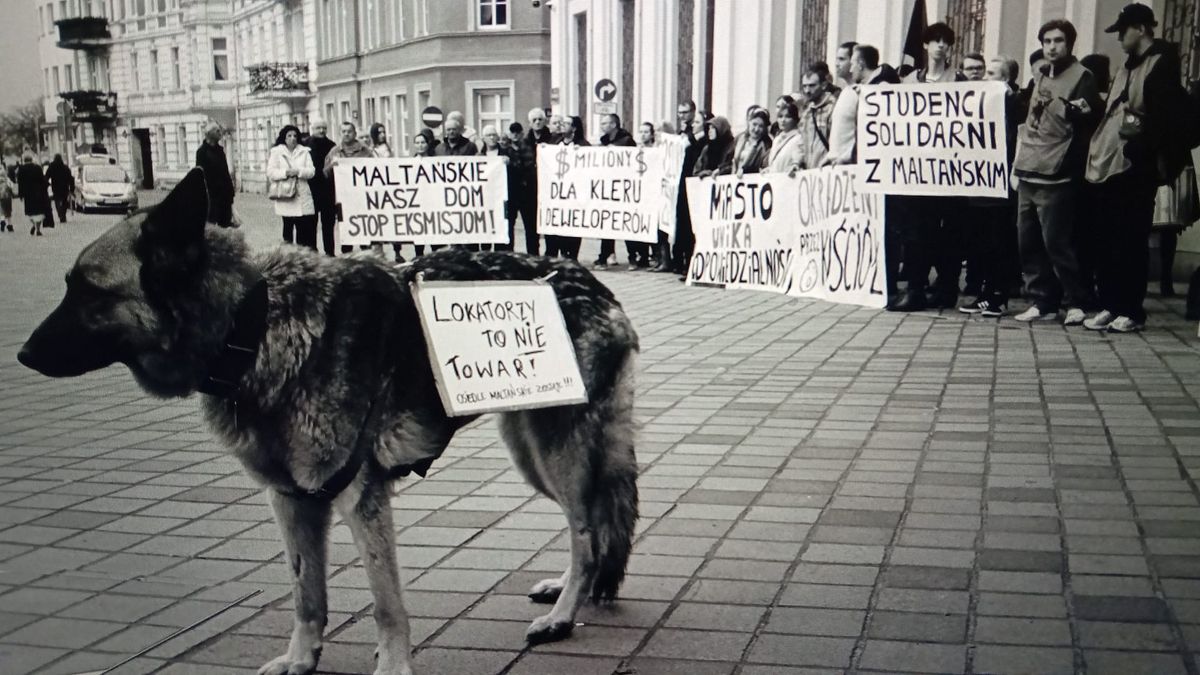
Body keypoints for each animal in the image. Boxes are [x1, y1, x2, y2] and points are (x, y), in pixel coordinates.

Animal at [18, 169, 638, 672]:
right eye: (71, 287)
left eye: (87, 291)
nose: (21, 355)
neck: (252, 325)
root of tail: (596, 286)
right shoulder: (292, 500)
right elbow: (306, 595)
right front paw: (301, 659)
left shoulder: (359, 499)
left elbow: (386, 605)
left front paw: (394, 668)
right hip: (533, 455)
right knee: (589, 523)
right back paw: (565, 591)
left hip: (554, 453)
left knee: (586, 532)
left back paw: (563, 617)